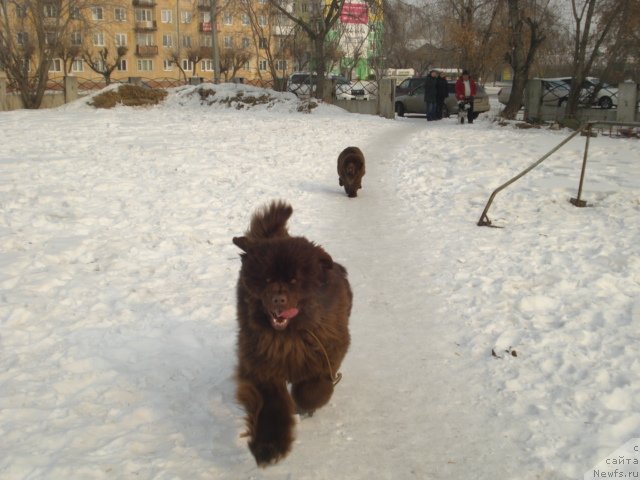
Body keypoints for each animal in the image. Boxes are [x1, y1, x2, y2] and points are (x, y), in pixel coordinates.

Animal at [232, 201, 352, 466]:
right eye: (267, 279)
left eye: (295, 280)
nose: (278, 298)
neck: (289, 337)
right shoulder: (261, 366)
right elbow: (270, 407)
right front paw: (268, 447)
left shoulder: (325, 355)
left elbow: (312, 391)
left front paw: (305, 404)